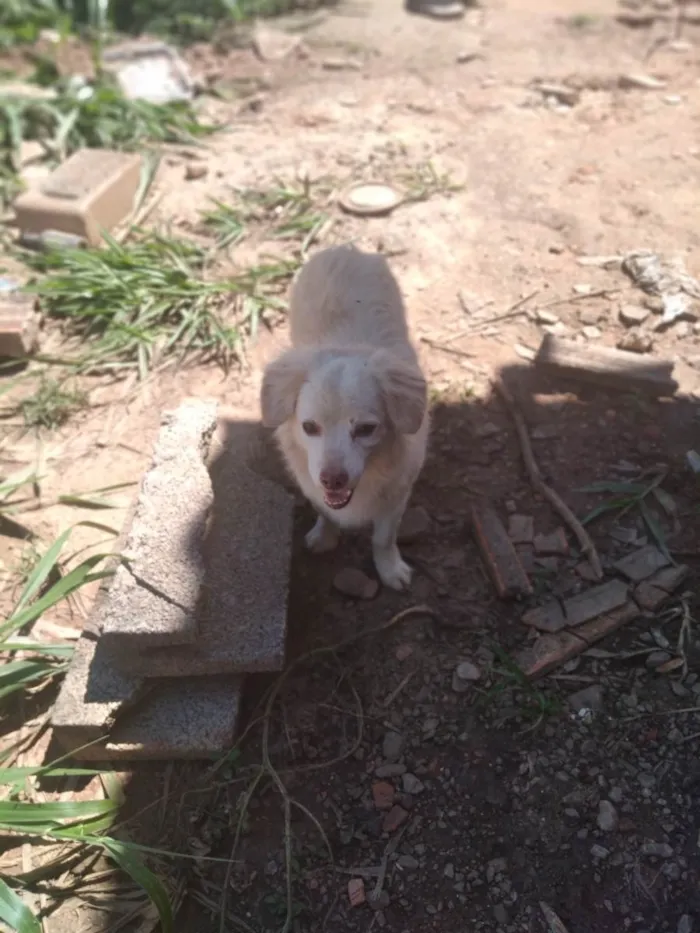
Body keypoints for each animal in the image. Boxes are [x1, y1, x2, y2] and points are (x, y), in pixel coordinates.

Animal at [260, 244, 430, 588]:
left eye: (366, 429)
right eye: (309, 427)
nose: (333, 479)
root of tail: (344, 248)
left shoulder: (397, 495)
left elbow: (383, 538)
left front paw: (390, 570)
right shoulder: (313, 486)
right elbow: (325, 512)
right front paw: (325, 537)